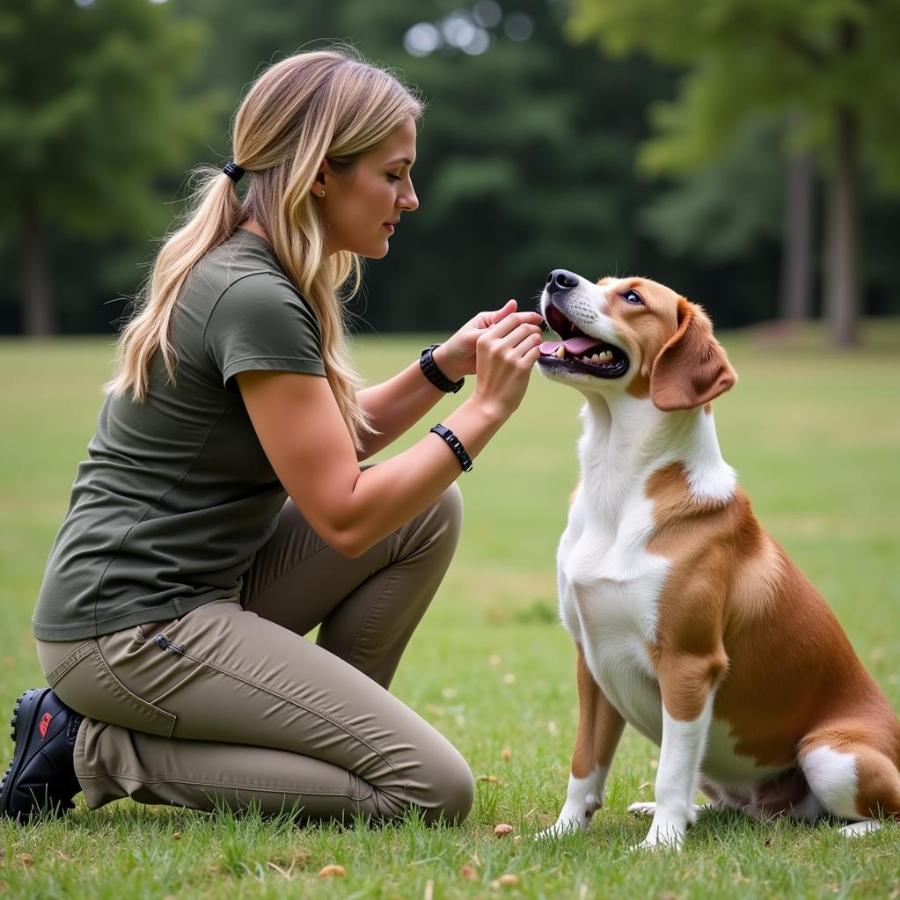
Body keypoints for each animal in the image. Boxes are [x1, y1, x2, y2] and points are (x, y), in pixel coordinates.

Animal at [536, 268, 900, 852]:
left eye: (632, 297)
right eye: (604, 282)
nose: (557, 277)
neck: (618, 484)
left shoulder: (688, 665)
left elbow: (668, 772)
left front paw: (660, 845)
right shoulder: (590, 660)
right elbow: (584, 764)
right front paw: (563, 830)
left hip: (830, 755)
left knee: (880, 811)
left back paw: (849, 832)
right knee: (726, 805)